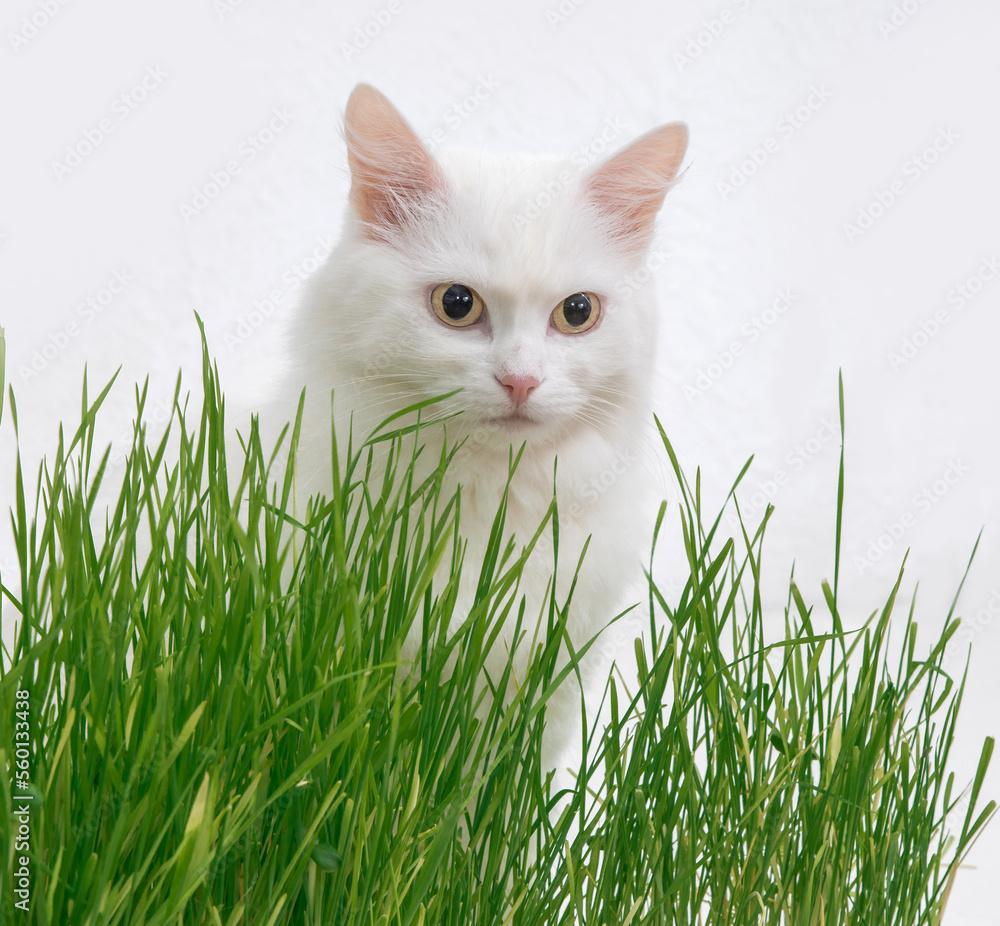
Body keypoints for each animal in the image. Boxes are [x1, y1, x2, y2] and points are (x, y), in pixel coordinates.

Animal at [282, 85, 688, 768]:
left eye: (577, 312)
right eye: (456, 304)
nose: (520, 380)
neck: (485, 504)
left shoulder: (550, 680)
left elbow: (493, 794)